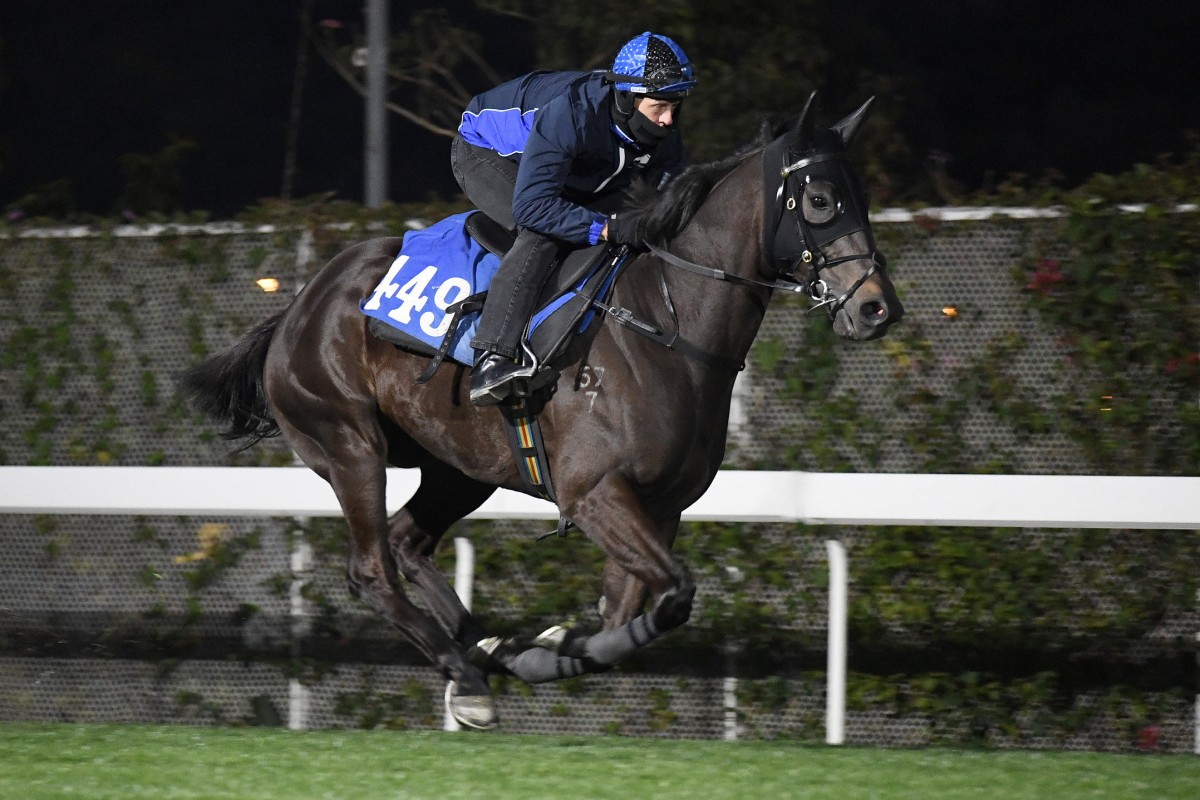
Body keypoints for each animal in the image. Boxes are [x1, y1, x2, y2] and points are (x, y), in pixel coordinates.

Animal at [180, 95, 902, 734]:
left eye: (862, 200)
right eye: (819, 200)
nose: (878, 307)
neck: (666, 324)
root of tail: (299, 305)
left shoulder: (660, 506)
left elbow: (624, 613)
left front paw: (545, 647)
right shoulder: (595, 493)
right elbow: (672, 598)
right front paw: (545, 652)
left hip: (458, 466)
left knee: (410, 542)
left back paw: (485, 649)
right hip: (349, 445)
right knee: (371, 570)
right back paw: (467, 676)